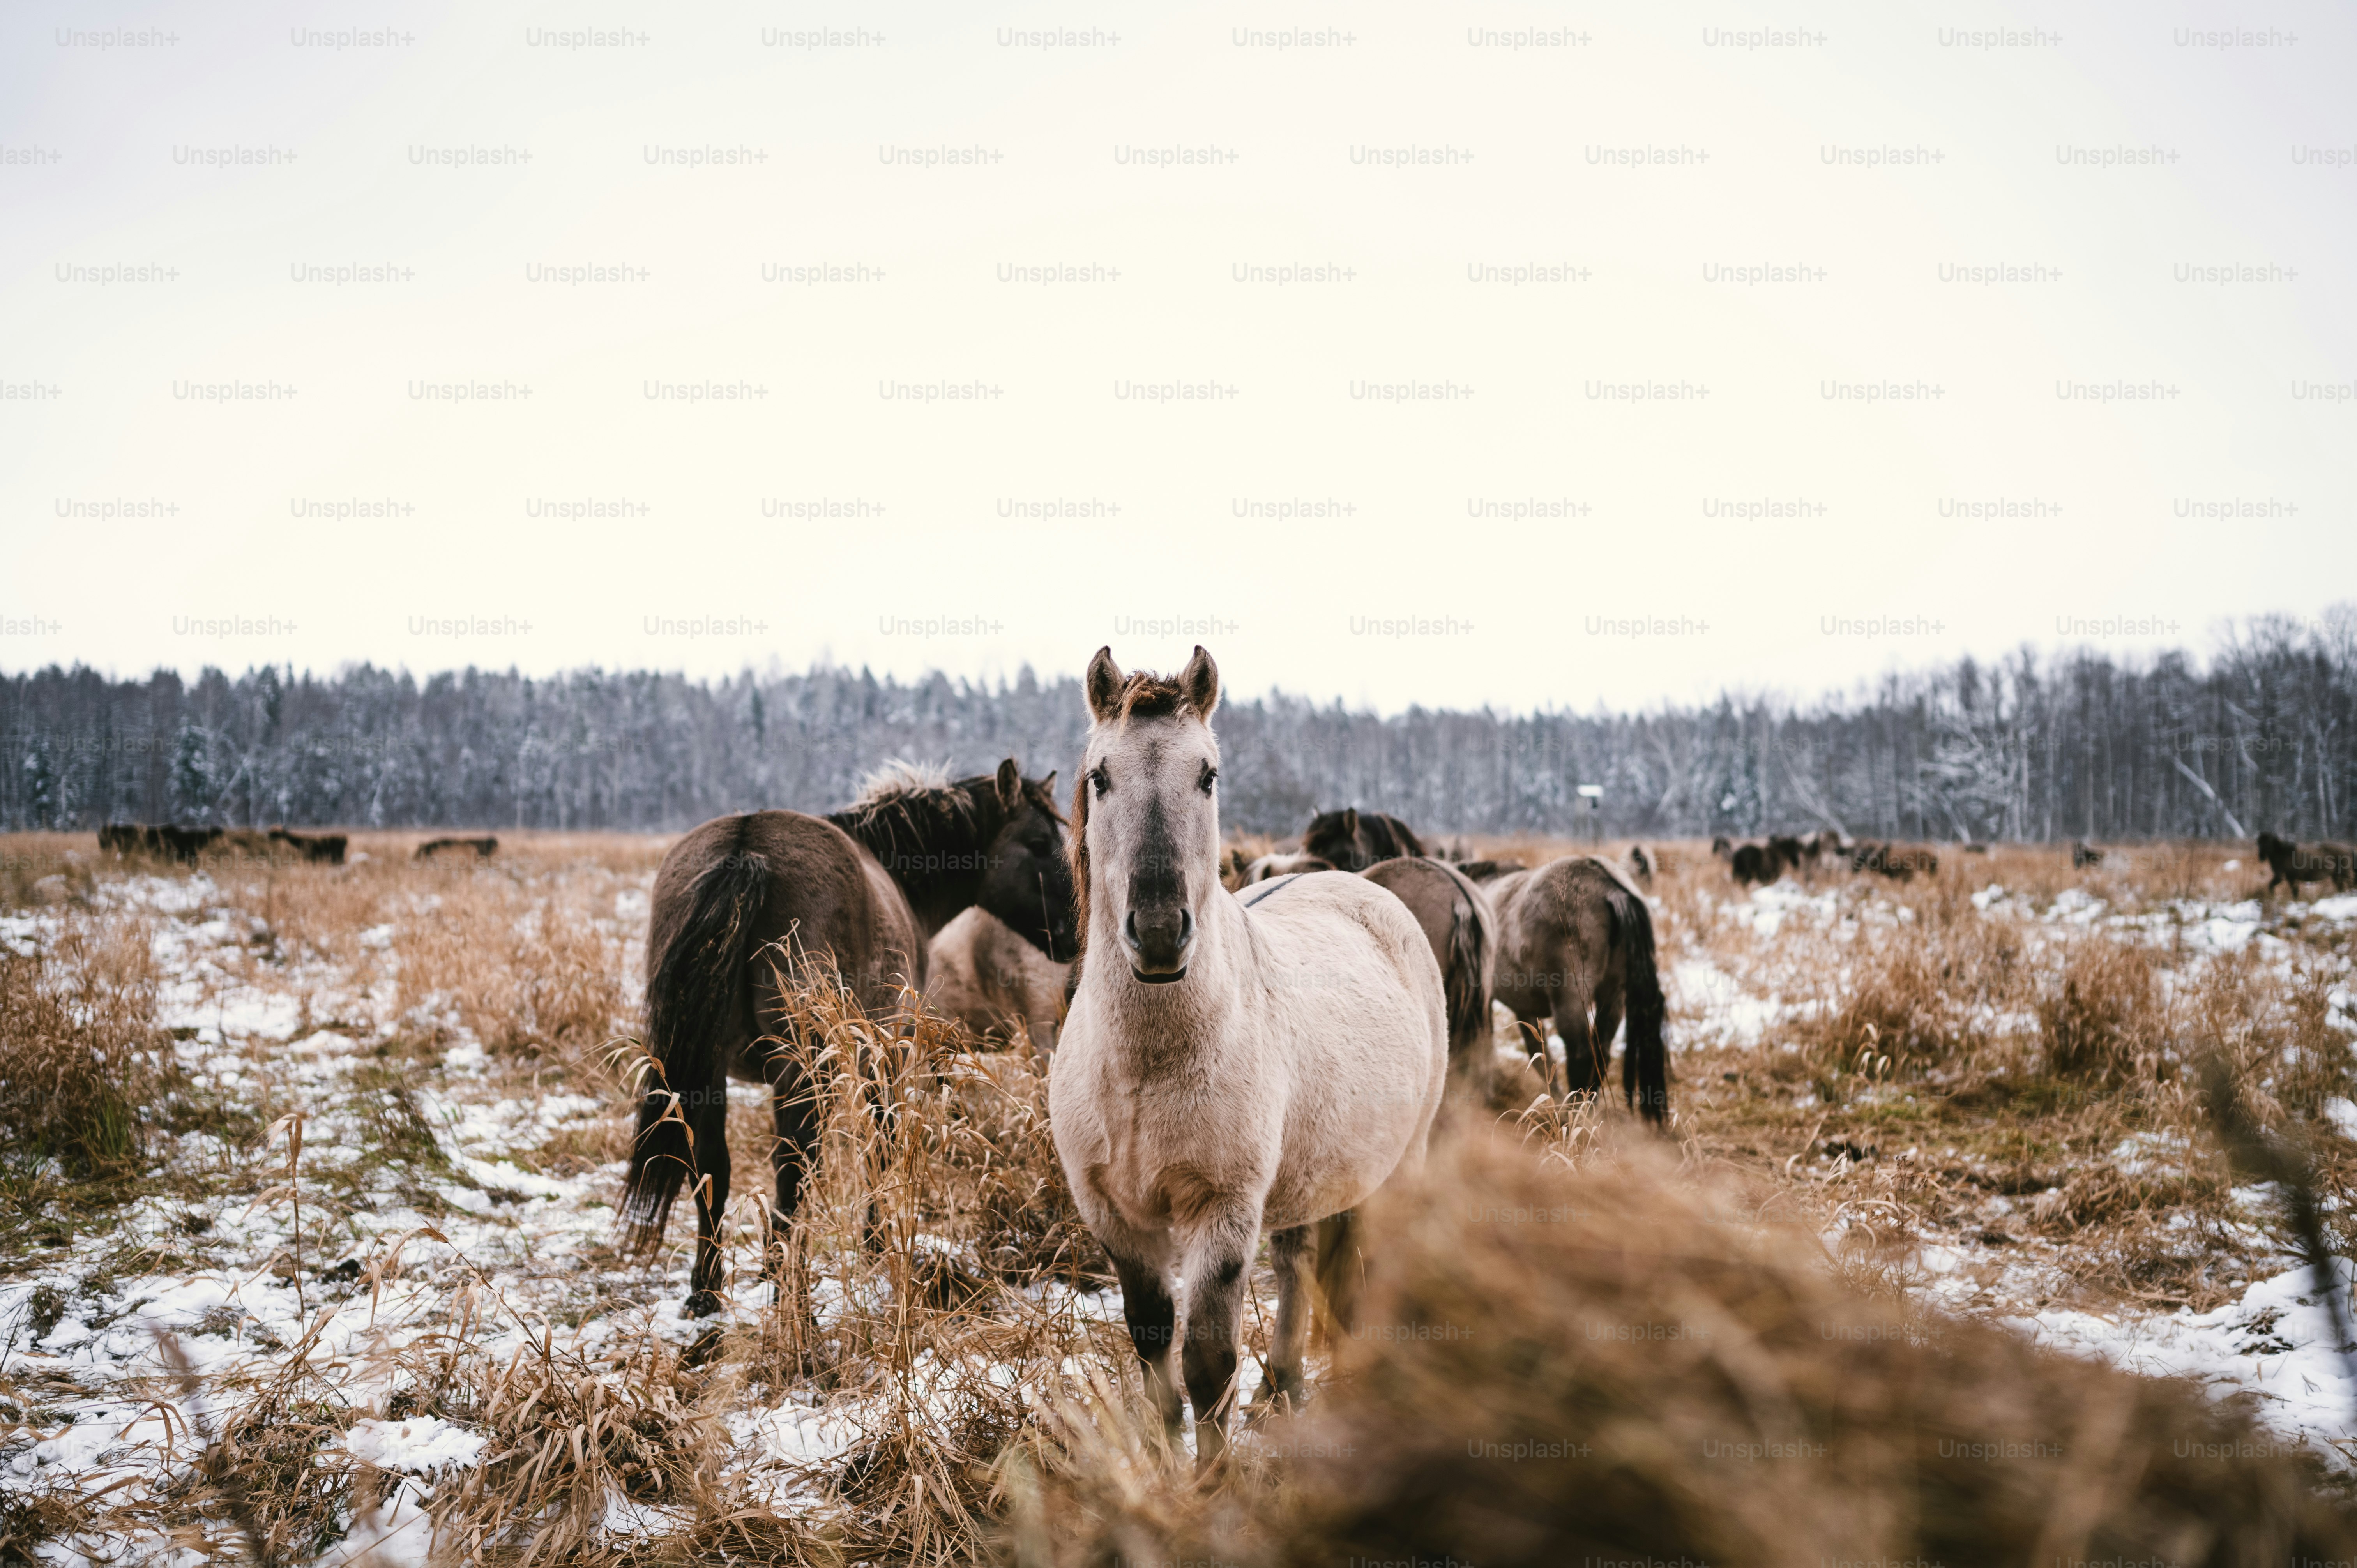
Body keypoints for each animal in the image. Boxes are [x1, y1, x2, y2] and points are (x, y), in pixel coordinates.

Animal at [1482, 855, 1668, 1122]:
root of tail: (1609, 887)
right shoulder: (1525, 1009)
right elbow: (1538, 1054)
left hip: (1569, 1000)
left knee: (1581, 1054)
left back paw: (1574, 1113)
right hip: (1613, 995)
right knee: (1601, 1050)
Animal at [2256, 832, 2357, 895]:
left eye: (2268, 842)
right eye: (2259, 843)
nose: (2261, 857)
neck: (2285, 855)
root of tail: (2349, 849)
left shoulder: (2292, 879)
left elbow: (2295, 892)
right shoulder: (2282, 878)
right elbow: (2271, 886)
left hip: (2345, 873)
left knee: (2350, 884)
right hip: (2336, 875)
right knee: (2341, 887)